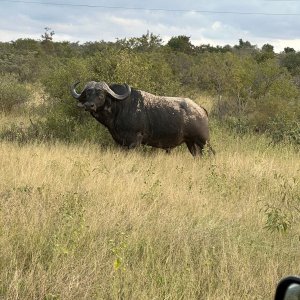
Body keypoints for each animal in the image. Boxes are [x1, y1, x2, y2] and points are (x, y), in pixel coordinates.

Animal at [71, 81, 214, 157]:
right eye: (88, 94)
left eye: (100, 95)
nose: (89, 105)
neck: (120, 107)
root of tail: (201, 109)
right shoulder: (121, 142)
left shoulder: (134, 141)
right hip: (191, 143)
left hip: (203, 141)